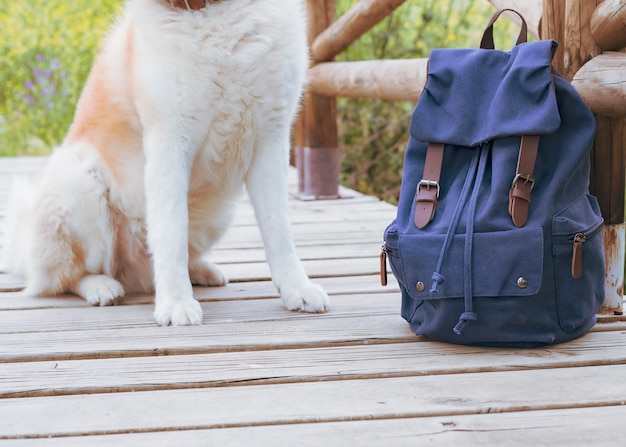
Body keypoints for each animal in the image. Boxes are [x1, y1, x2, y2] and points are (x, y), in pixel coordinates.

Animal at [0, 0, 330, 326]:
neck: (213, 17)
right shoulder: (170, 144)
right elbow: (171, 231)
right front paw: (176, 303)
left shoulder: (271, 140)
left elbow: (279, 230)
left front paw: (297, 289)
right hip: (77, 183)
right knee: (64, 279)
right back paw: (100, 286)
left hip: (218, 214)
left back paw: (201, 270)